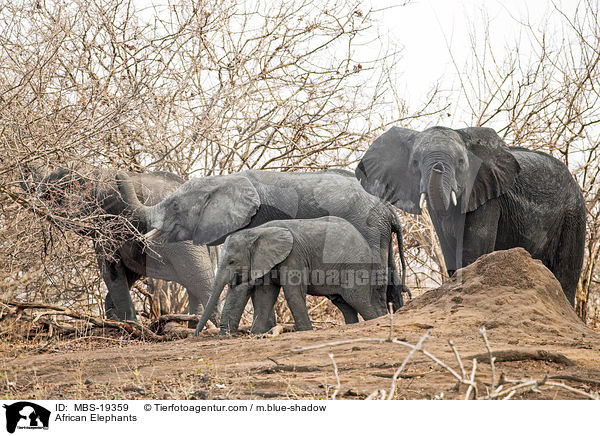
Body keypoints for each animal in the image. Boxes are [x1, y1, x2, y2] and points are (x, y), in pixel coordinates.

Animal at [22, 167, 216, 324]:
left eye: (53, 195)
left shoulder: (107, 220)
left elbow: (110, 268)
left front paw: (130, 325)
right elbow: (126, 273)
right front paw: (118, 321)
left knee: (195, 277)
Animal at [195, 216, 386, 336]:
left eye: (232, 261)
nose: (196, 334)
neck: (257, 231)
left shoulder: (294, 256)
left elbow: (292, 292)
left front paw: (306, 332)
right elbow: (265, 295)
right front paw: (256, 334)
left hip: (355, 266)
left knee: (357, 299)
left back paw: (377, 321)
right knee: (343, 303)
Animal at [356, 124, 584, 304]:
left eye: (460, 162)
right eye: (414, 163)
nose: (437, 168)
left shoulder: (488, 196)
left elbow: (473, 250)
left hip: (573, 214)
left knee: (566, 275)